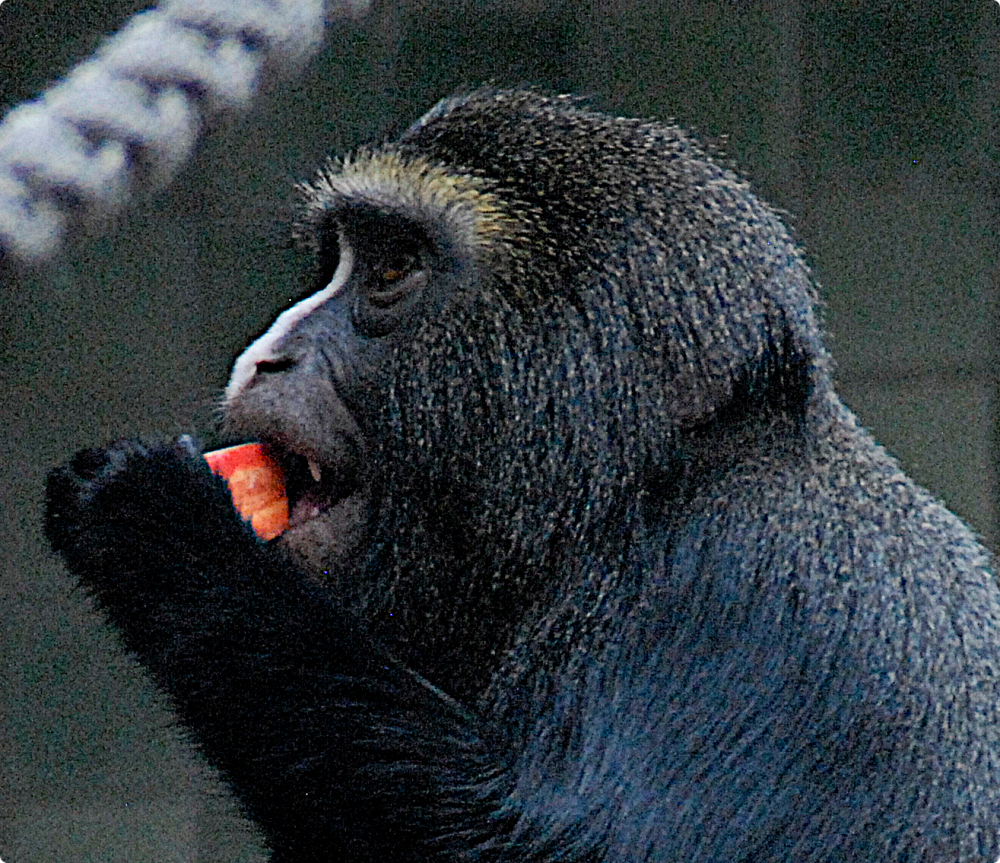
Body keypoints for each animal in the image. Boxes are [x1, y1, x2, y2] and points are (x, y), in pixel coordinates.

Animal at [45, 88, 1000, 861]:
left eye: (391, 268)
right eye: (339, 259)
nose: (267, 354)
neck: (632, 498)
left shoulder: (739, 591)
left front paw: (158, 519)